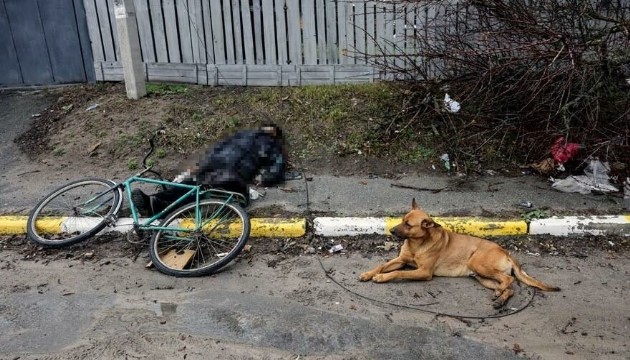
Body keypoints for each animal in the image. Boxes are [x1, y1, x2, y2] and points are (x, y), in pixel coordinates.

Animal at [360, 198, 564, 308]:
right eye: (403, 220)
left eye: (408, 225)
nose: (391, 231)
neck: (417, 244)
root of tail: (506, 252)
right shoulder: (401, 259)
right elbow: (382, 265)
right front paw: (369, 273)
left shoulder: (423, 272)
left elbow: (397, 272)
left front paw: (381, 277)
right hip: (482, 277)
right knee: (510, 287)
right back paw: (500, 298)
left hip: (478, 264)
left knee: (509, 279)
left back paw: (500, 294)